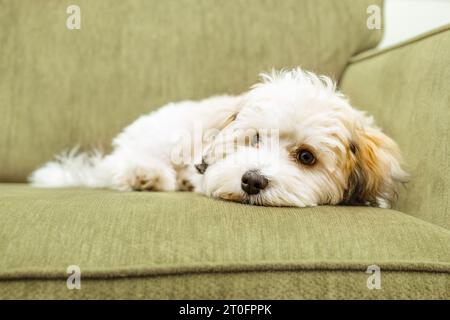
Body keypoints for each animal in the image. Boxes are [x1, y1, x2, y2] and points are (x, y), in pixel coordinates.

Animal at [28, 68, 408, 208]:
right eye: (254, 139)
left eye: (306, 157)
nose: (251, 181)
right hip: (166, 138)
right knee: (116, 166)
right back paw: (145, 175)